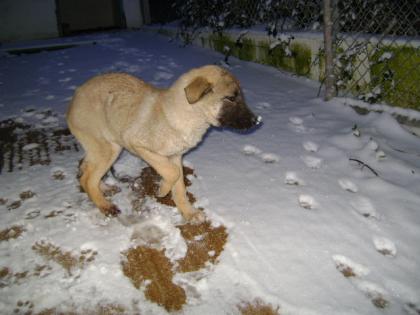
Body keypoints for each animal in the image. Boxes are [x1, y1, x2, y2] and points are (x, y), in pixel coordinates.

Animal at [66, 64, 260, 222]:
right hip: (110, 148)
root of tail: (76, 95)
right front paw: (162, 189)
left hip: (101, 148)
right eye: (231, 98)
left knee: (84, 169)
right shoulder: (140, 146)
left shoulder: (175, 156)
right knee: (88, 178)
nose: (256, 121)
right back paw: (105, 206)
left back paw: (104, 188)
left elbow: (180, 188)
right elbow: (172, 173)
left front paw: (188, 213)